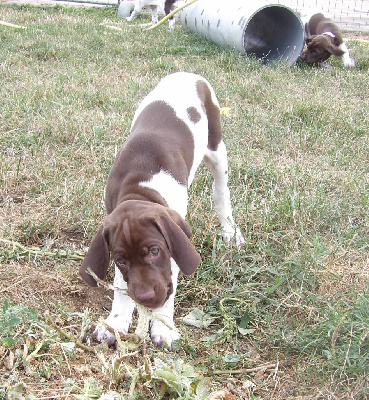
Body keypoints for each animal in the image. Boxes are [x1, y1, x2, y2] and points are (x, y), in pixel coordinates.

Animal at [79, 73, 243, 348]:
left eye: (155, 251)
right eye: (121, 259)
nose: (145, 297)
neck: (140, 187)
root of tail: (188, 74)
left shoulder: (174, 245)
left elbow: (170, 283)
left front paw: (163, 327)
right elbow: (121, 287)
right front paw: (115, 323)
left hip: (216, 148)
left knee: (221, 192)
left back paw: (230, 230)